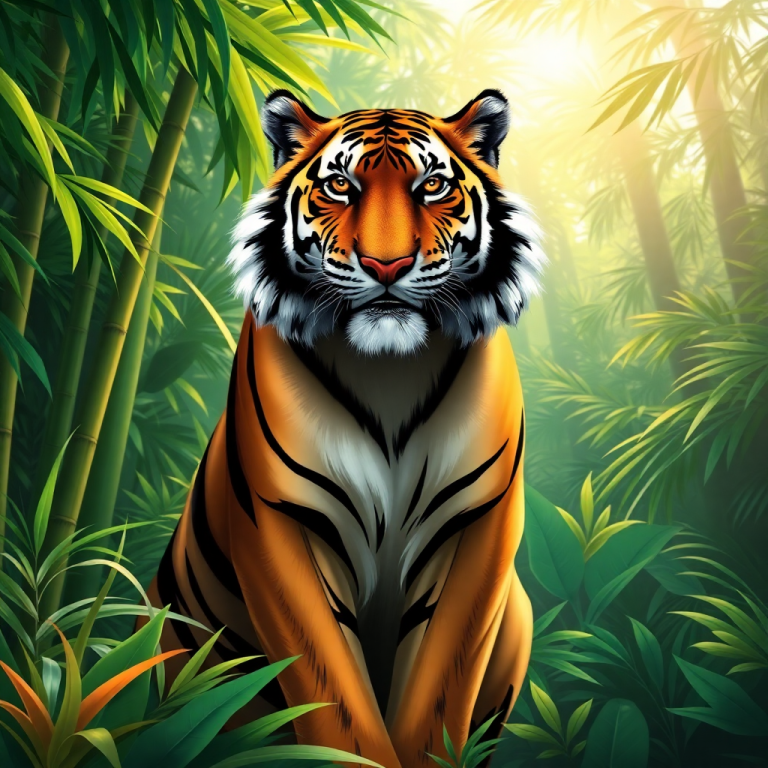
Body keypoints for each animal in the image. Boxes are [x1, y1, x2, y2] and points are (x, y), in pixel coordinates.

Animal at [146, 89, 544, 768]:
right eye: (340, 185)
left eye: (432, 185)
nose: (387, 265)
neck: (390, 375)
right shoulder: (284, 520)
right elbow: (334, 697)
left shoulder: (475, 525)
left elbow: (439, 693)